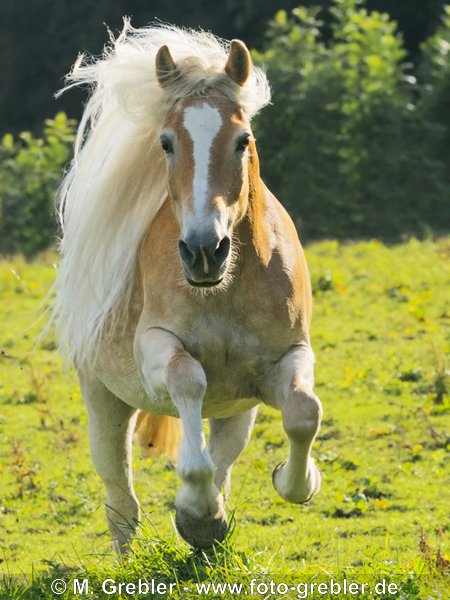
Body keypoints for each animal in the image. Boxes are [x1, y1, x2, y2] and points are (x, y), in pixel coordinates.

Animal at [53, 23, 324, 552]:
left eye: (242, 139)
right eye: (166, 143)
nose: (204, 250)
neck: (225, 290)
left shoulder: (287, 358)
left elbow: (304, 411)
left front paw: (292, 481)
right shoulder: (157, 347)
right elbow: (188, 380)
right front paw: (195, 510)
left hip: (236, 413)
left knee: (224, 460)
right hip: (104, 402)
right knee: (121, 502)